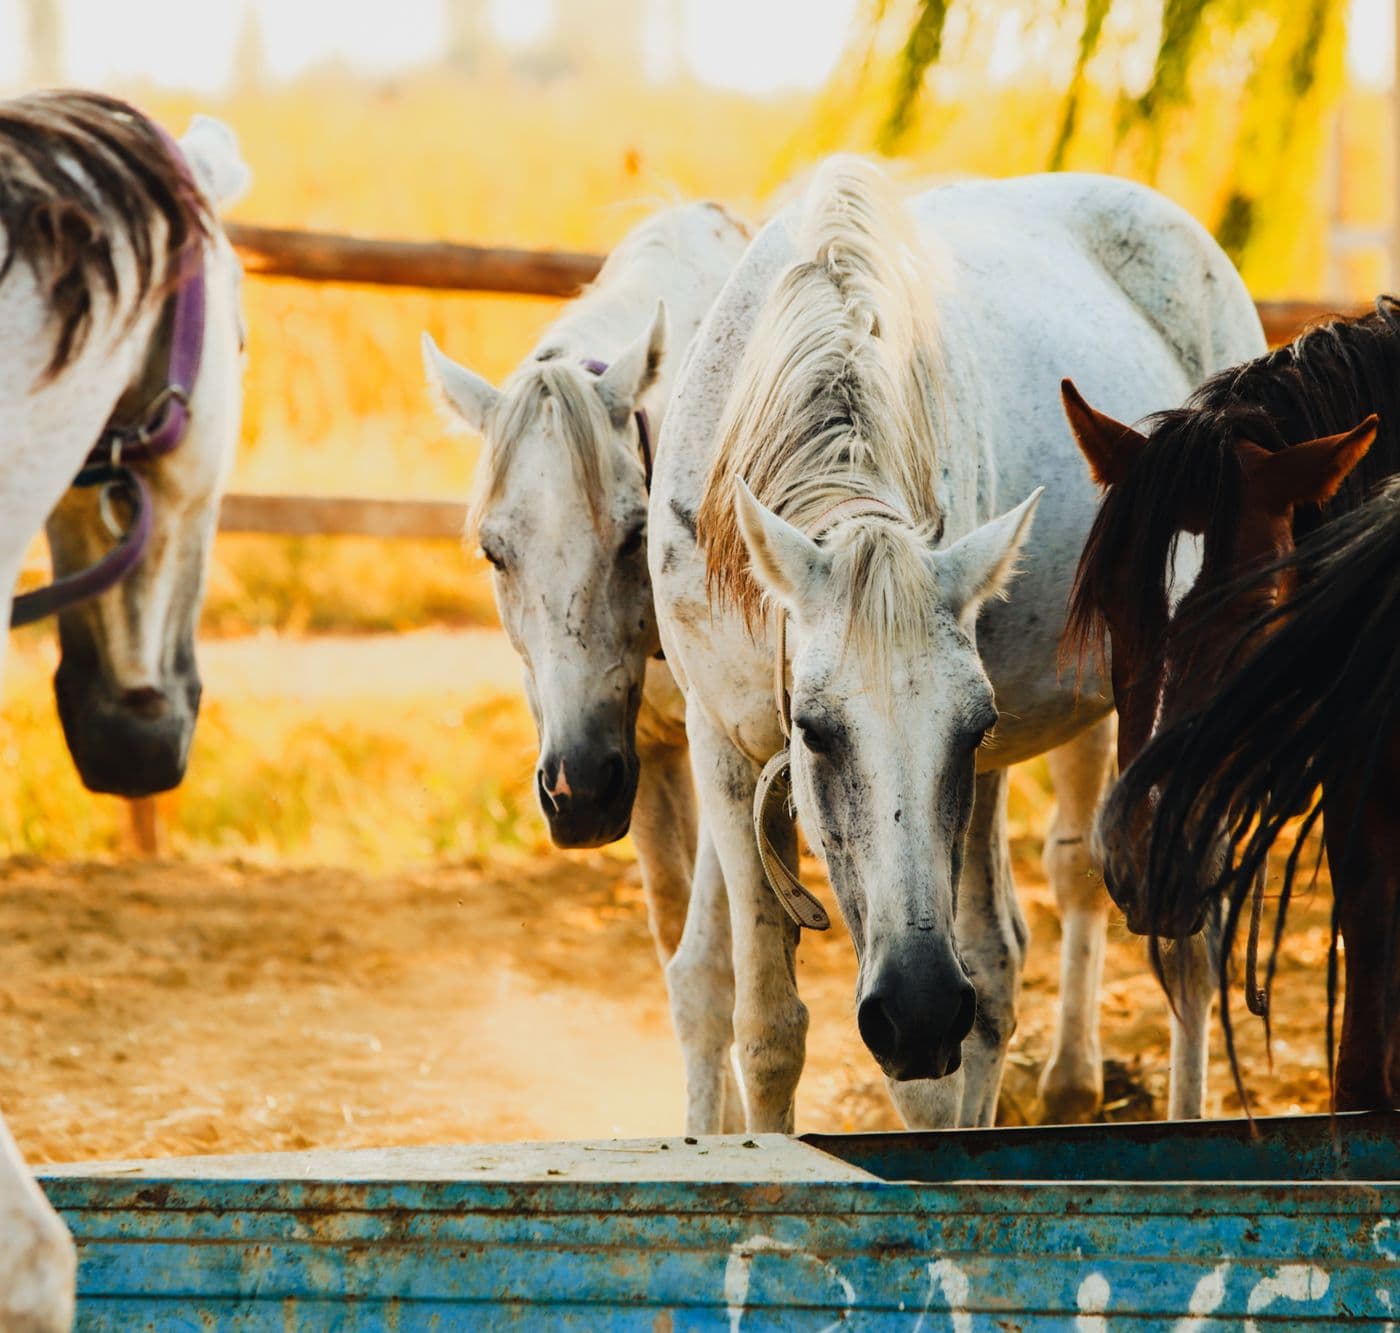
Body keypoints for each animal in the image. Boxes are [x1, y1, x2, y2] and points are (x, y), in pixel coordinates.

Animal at [422, 201, 752, 1127]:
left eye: (634, 534)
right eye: (493, 552)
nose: (578, 792)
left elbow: (708, 975)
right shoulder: (651, 759)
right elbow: (681, 953)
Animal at [649, 155, 1263, 1135]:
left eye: (971, 727)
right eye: (814, 730)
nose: (919, 1011)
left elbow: (934, 1075)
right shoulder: (724, 749)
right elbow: (770, 1029)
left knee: (1185, 951)